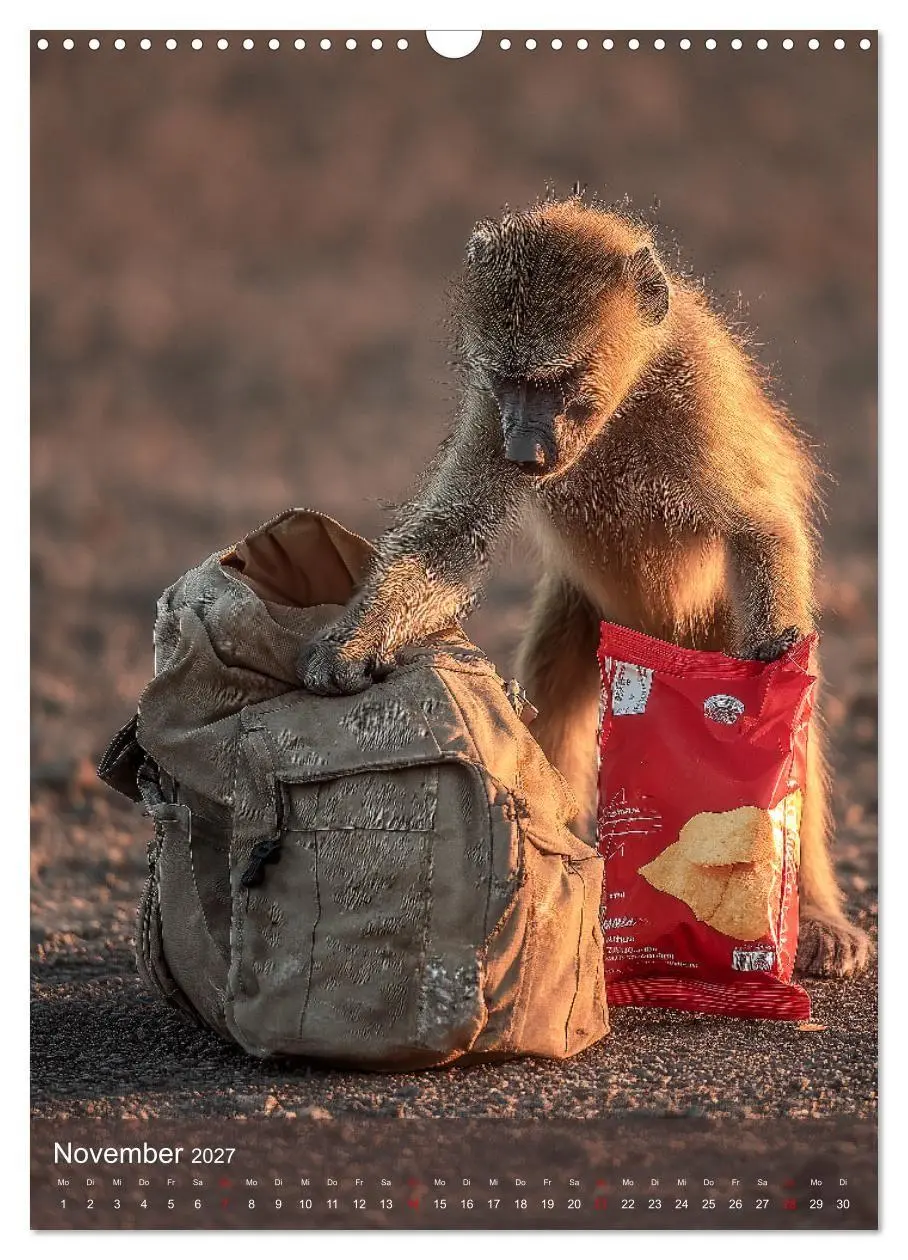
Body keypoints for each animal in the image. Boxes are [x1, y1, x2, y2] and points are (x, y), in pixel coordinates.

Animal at [298, 196, 871, 979]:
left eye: (556, 382)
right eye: (512, 383)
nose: (522, 450)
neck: (625, 402)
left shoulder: (699, 396)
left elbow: (761, 527)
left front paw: (771, 661)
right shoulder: (488, 412)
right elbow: (453, 532)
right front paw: (353, 641)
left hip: (717, 622)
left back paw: (812, 914)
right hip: (584, 616)